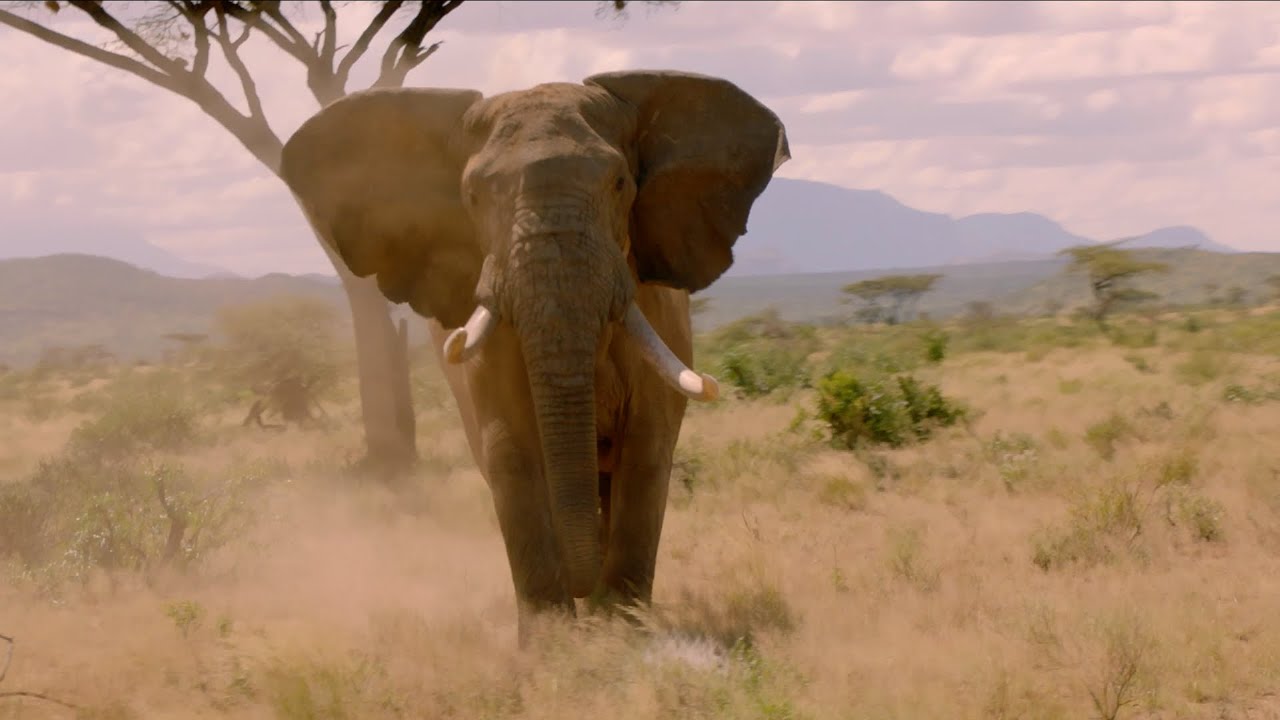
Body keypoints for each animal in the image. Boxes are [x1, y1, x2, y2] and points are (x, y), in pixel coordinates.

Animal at [279, 69, 790, 644]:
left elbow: (647, 444)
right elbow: (510, 448)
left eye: (620, 183)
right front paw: (553, 644)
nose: (584, 588)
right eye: (473, 195)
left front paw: (621, 632)